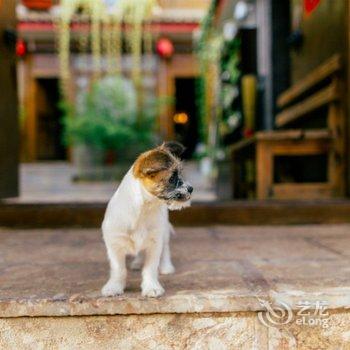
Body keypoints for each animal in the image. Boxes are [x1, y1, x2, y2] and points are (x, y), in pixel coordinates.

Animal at [101, 142, 194, 298]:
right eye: (172, 178)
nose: (191, 188)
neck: (144, 210)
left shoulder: (154, 243)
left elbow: (150, 268)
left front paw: (152, 287)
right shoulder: (114, 246)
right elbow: (118, 269)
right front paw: (114, 287)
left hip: (164, 232)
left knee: (166, 247)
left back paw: (166, 266)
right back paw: (137, 262)